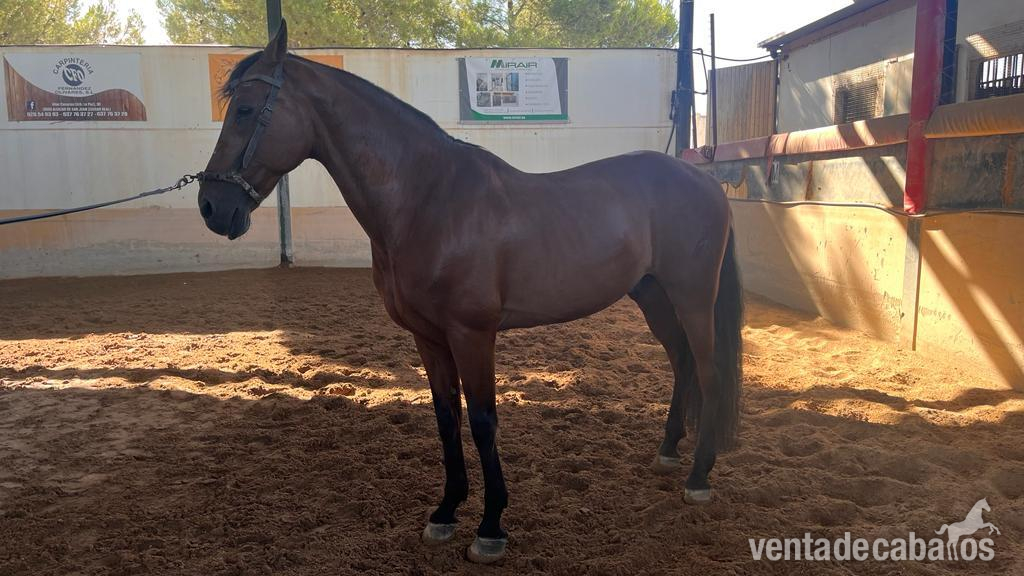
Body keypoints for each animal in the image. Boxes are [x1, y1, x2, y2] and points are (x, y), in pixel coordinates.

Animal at [197, 21, 743, 564]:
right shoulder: (429, 337)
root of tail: (703, 180)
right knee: (682, 363)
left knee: (709, 371)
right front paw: (445, 512)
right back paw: (668, 452)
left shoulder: (472, 334)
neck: (428, 200)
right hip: (653, 295)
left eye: (246, 110)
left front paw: (491, 526)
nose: (211, 206)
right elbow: (445, 417)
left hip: (693, 297)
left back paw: (698, 477)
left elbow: (482, 420)